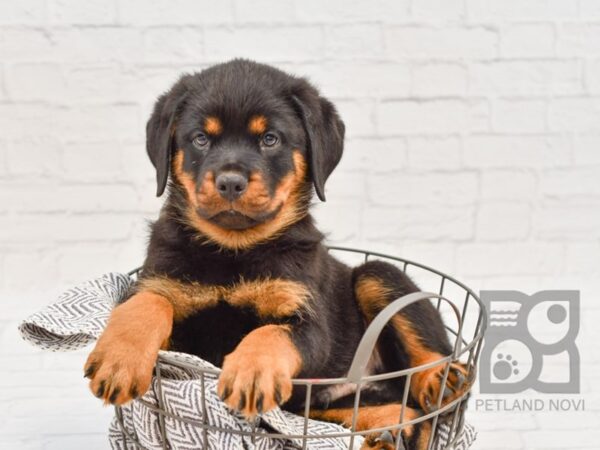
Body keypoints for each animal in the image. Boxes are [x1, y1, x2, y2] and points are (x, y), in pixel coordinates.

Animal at [83, 59, 468, 450]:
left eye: (270, 139)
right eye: (201, 138)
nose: (230, 182)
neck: (233, 251)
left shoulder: (308, 319)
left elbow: (271, 333)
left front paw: (251, 372)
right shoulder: (162, 288)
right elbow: (147, 302)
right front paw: (119, 359)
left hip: (378, 276)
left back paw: (442, 378)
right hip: (320, 407)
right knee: (408, 413)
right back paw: (388, 436)